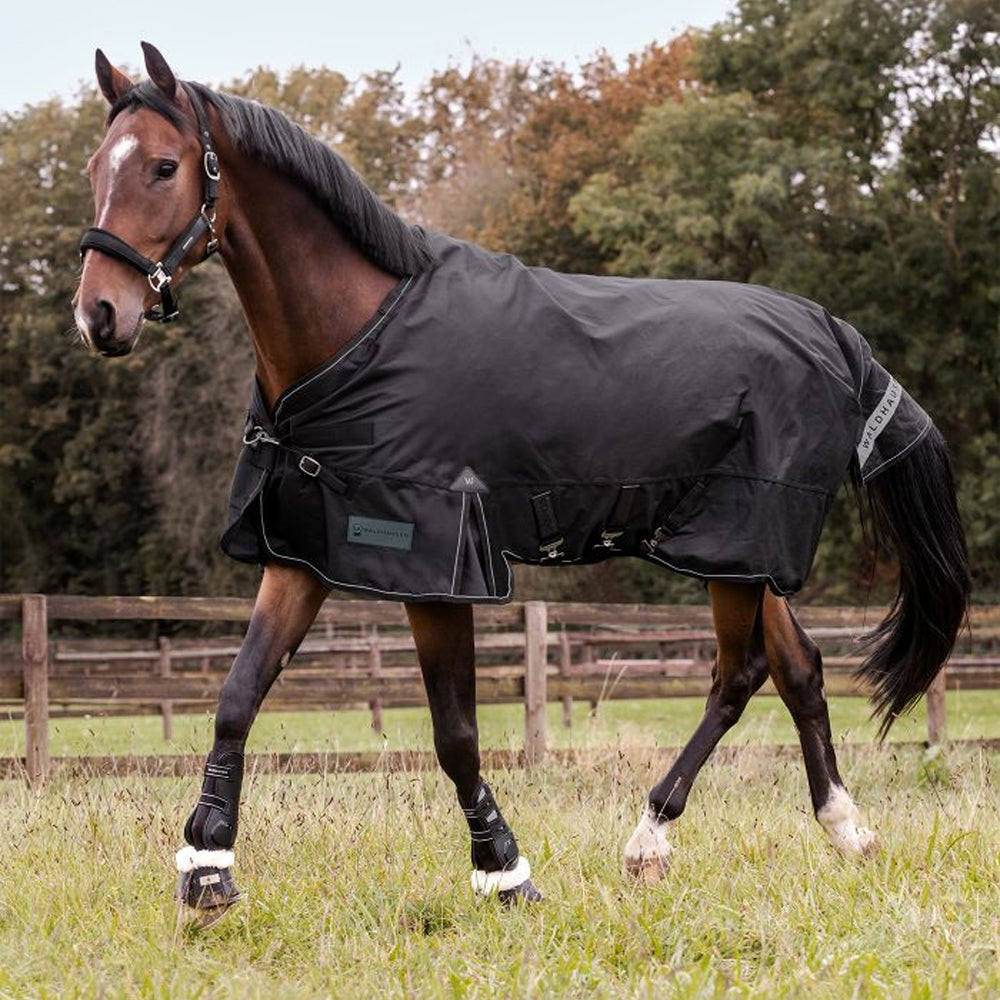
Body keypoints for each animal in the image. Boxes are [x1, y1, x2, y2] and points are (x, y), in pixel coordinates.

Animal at [74, 43, 970, 923]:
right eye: (93, 167)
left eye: (162, 167)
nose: (99, 316)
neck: (358, 335)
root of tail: (833, 332)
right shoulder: (303, 550)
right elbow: (238, 695)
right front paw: (207, 869)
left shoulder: (436, 564)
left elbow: (455, 735)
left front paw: (505, 872)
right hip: (743, 552)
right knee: (798, 669)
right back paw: (846, 829)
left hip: (740, 540)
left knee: (738, 675)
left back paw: (650, 838)